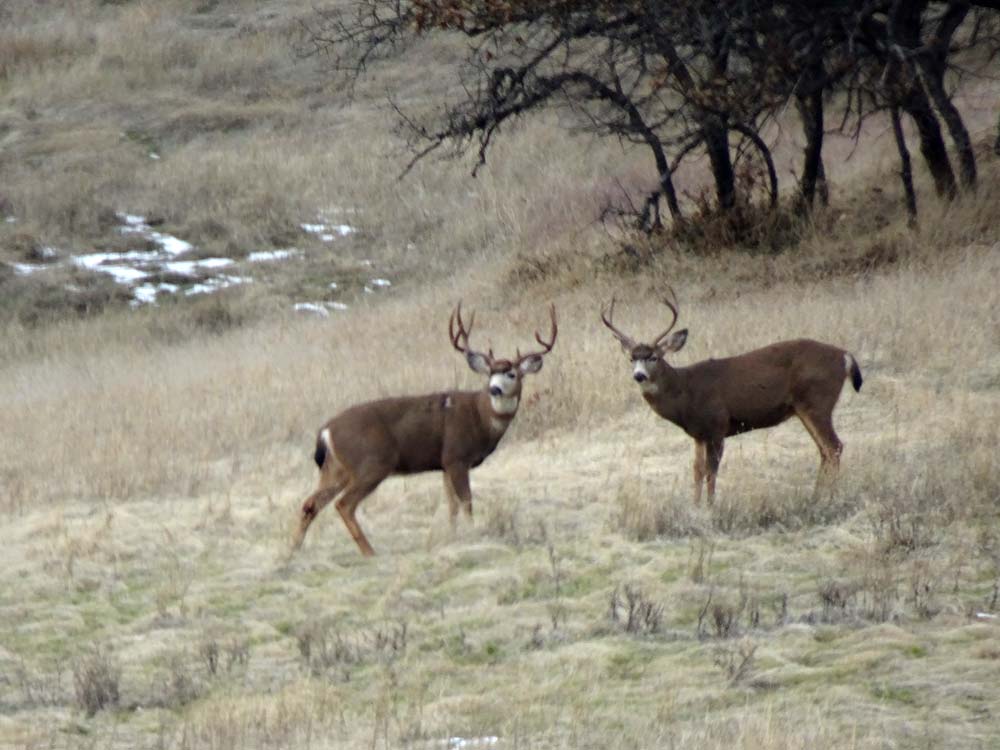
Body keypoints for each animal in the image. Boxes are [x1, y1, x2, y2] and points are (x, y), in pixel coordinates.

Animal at [291, 302, 557, 556]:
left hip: (337, 468)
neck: (480, 416)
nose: (495, 389)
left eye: (511, 374)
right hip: (372, 463)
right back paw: (369, 552)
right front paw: (473, 535)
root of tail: (326, 431)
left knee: (310, 504)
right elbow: (466, 502)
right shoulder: (456, 456)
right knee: (343, 505)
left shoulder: (444, 464)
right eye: (490, 374)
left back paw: (293, 551)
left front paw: (452, 537)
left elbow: (451, 506)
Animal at [600, 291, 862, 505]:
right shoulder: (699, 434)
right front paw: (695, 506)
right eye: (631, 358)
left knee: (834, 446)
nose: (639, 376)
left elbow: (712, 470)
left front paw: (710, 507)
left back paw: (828, 498)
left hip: (816, 401)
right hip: (804, 408)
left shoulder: (718, 424)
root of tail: (845, 356)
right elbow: (697, 470)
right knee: (824, 450)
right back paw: (815, 496)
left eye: (654, 357)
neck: (686, 393)